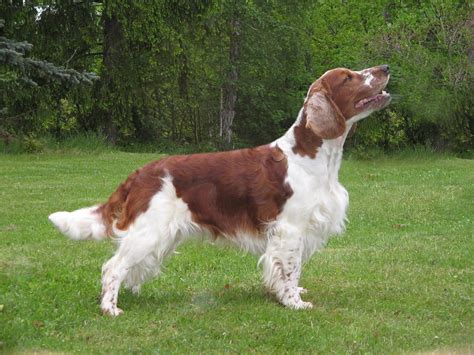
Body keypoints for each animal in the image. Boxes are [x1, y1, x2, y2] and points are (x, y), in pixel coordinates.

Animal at [48, 64, 390, 318]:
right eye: (349, 77)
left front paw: (289, 293)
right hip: (149, 231)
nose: (385, 67)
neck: (314, 156)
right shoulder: (290, 228)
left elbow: (292, 269)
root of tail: (141, 173)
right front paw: (294, 301)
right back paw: (110, 308)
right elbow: (290, 268)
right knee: (112, 267)